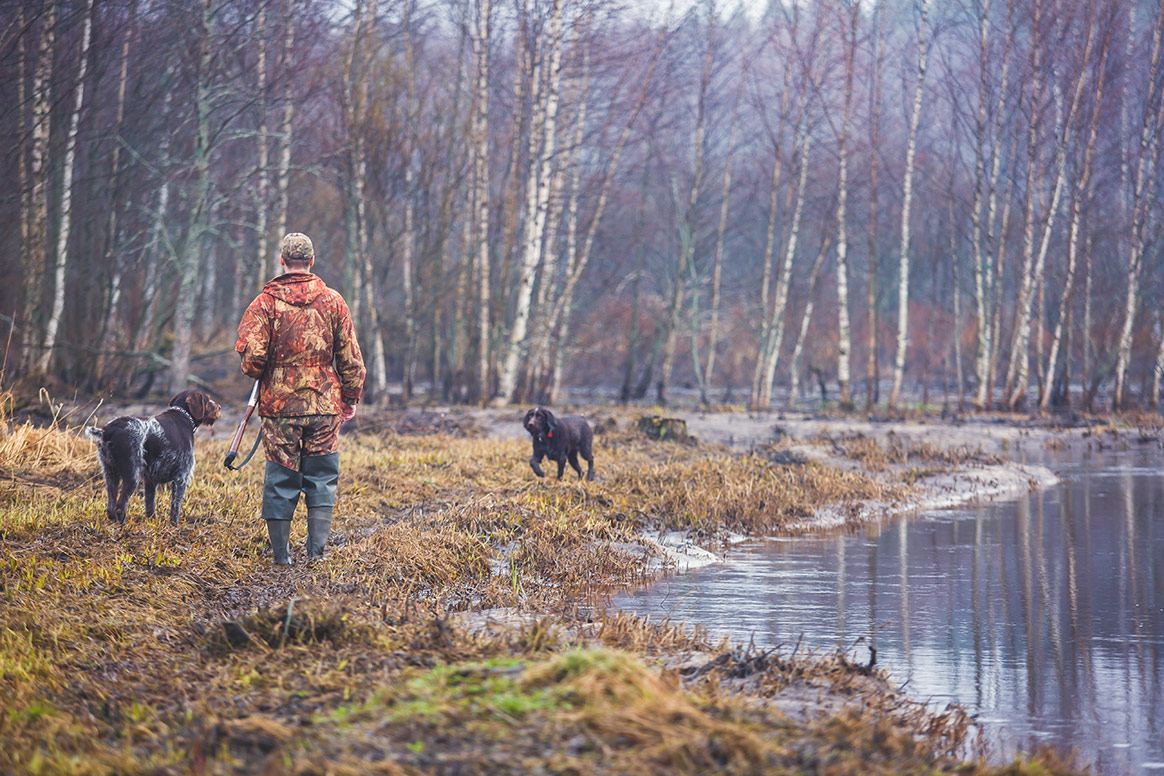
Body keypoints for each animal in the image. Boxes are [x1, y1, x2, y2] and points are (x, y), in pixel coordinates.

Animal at [84, 390, 219, 525]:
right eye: (208, 400)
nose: (219, 407)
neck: (184, 416)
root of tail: (106, 431)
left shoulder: (150, 480)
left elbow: (150, 507)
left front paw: (152, 523)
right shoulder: (181, 478)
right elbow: (175, 509)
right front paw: (174, 526)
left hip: (110, 473)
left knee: (111, 508)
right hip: (132, 476)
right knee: (120, 506)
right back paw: (126, 525)